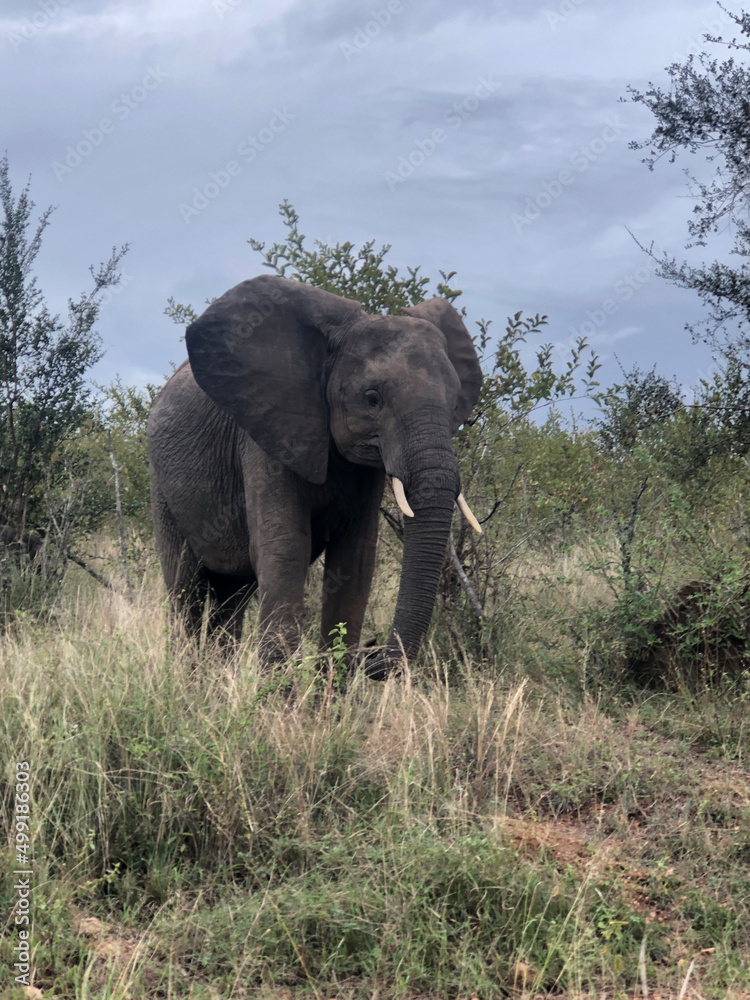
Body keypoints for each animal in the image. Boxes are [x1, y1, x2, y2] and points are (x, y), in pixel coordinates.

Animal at [147, 274, 483, 678]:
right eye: (372, 398)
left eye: (454, 402)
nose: (369, 652)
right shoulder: (264, 435)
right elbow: (285, 548)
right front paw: (280, 690)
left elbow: (356, 558)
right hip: (162, 486)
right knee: (186, 587)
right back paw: (186, 677)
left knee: (233, 597)